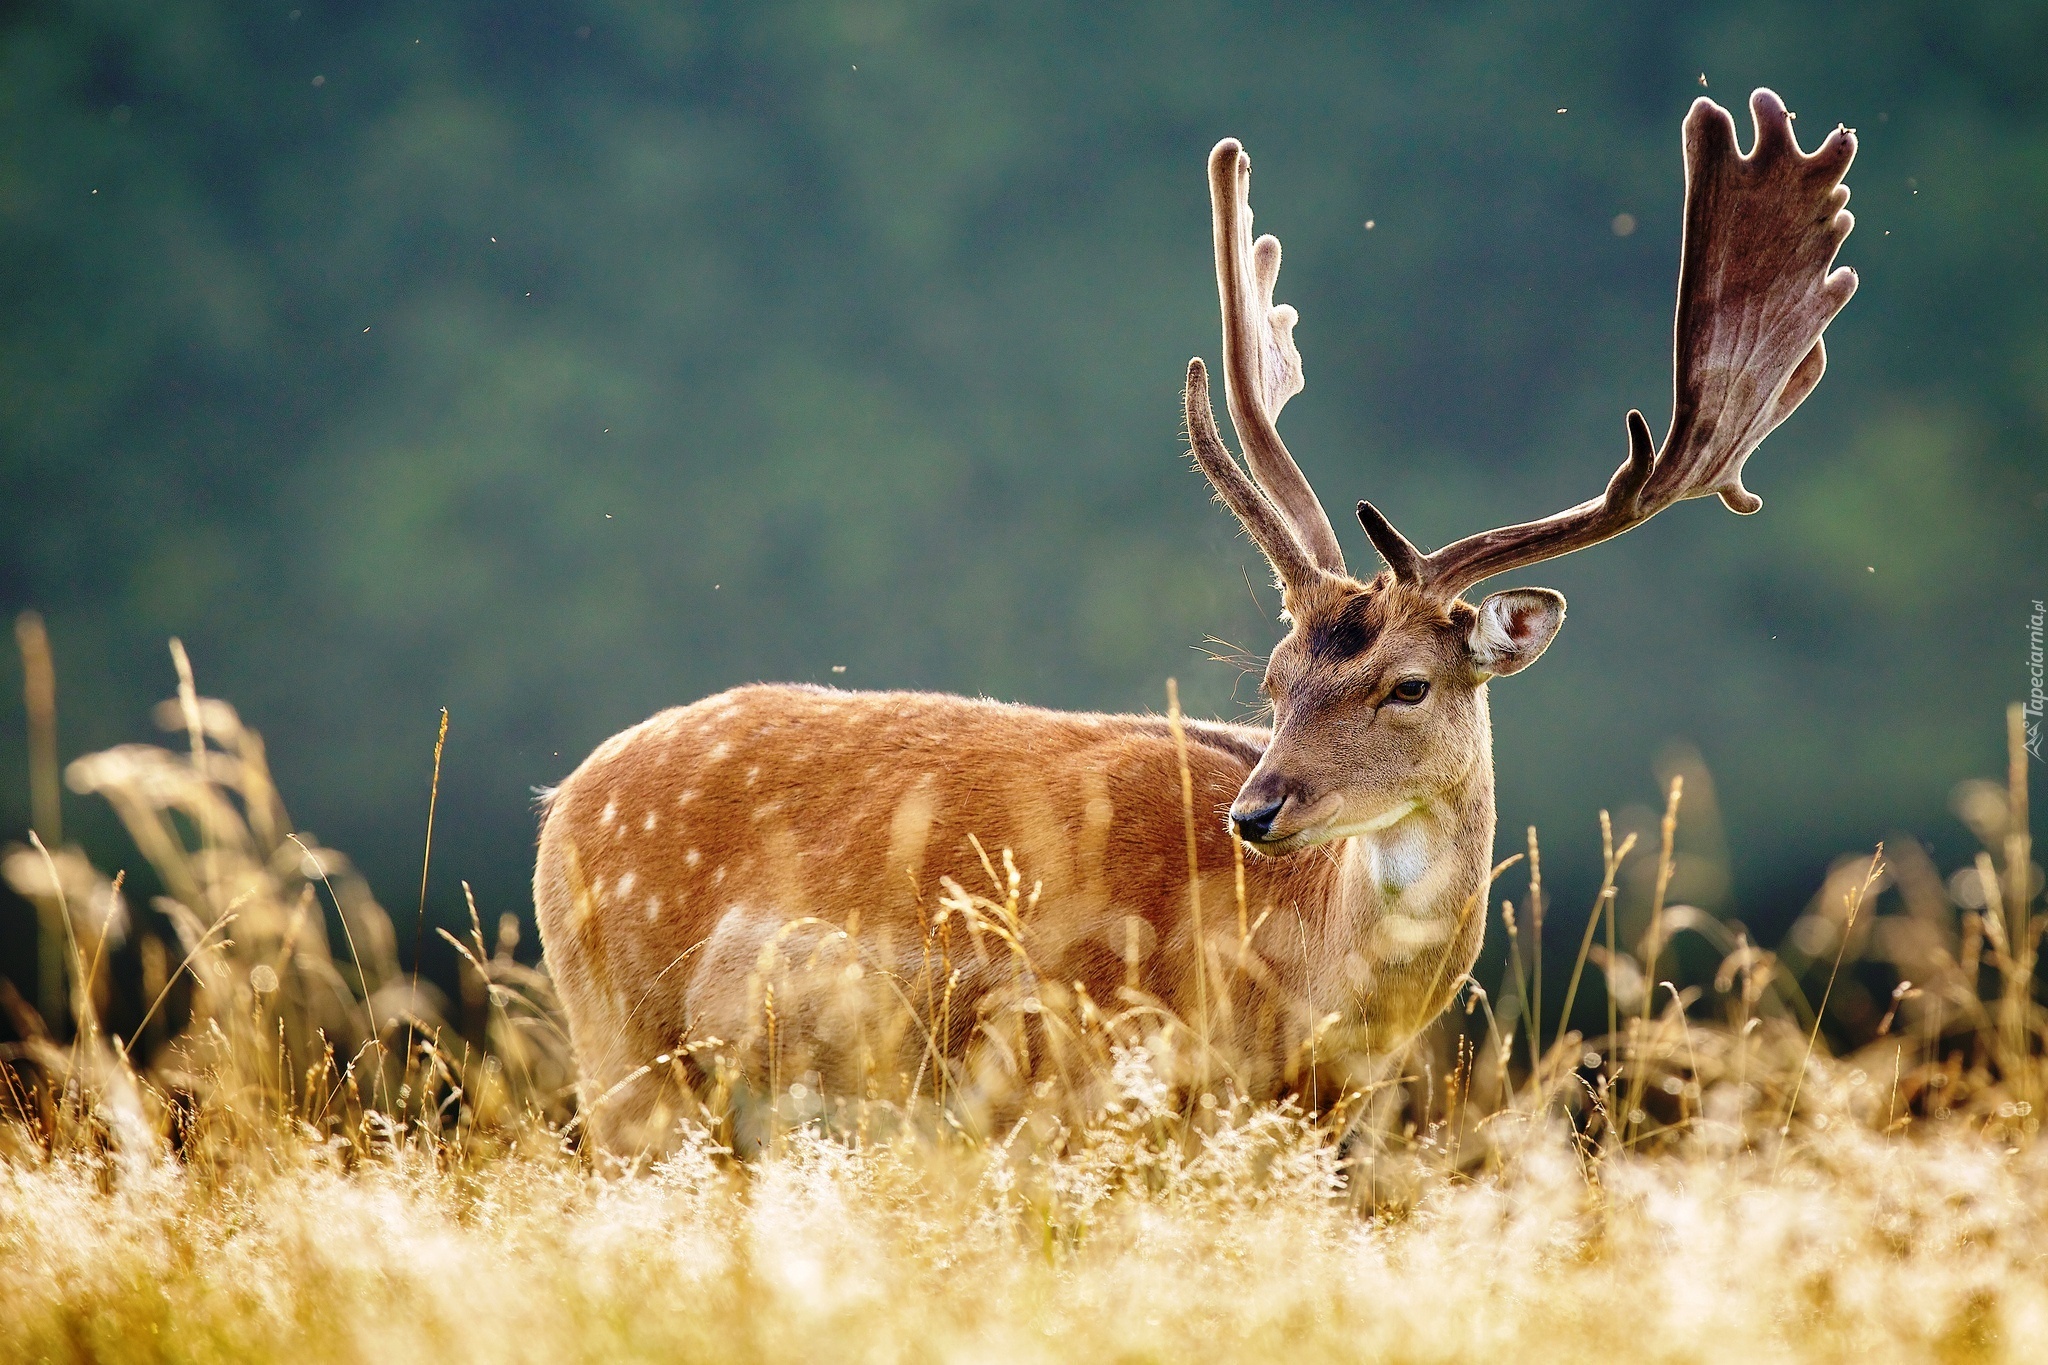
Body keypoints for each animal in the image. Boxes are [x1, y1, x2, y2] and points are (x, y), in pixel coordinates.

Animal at [540, 87, 1859, 1154]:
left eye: (1406, 684)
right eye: (1273, 681)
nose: (1256, 810)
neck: (1297, 1008)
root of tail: (562, 801)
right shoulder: (1075, 1086)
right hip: (624, 1053)